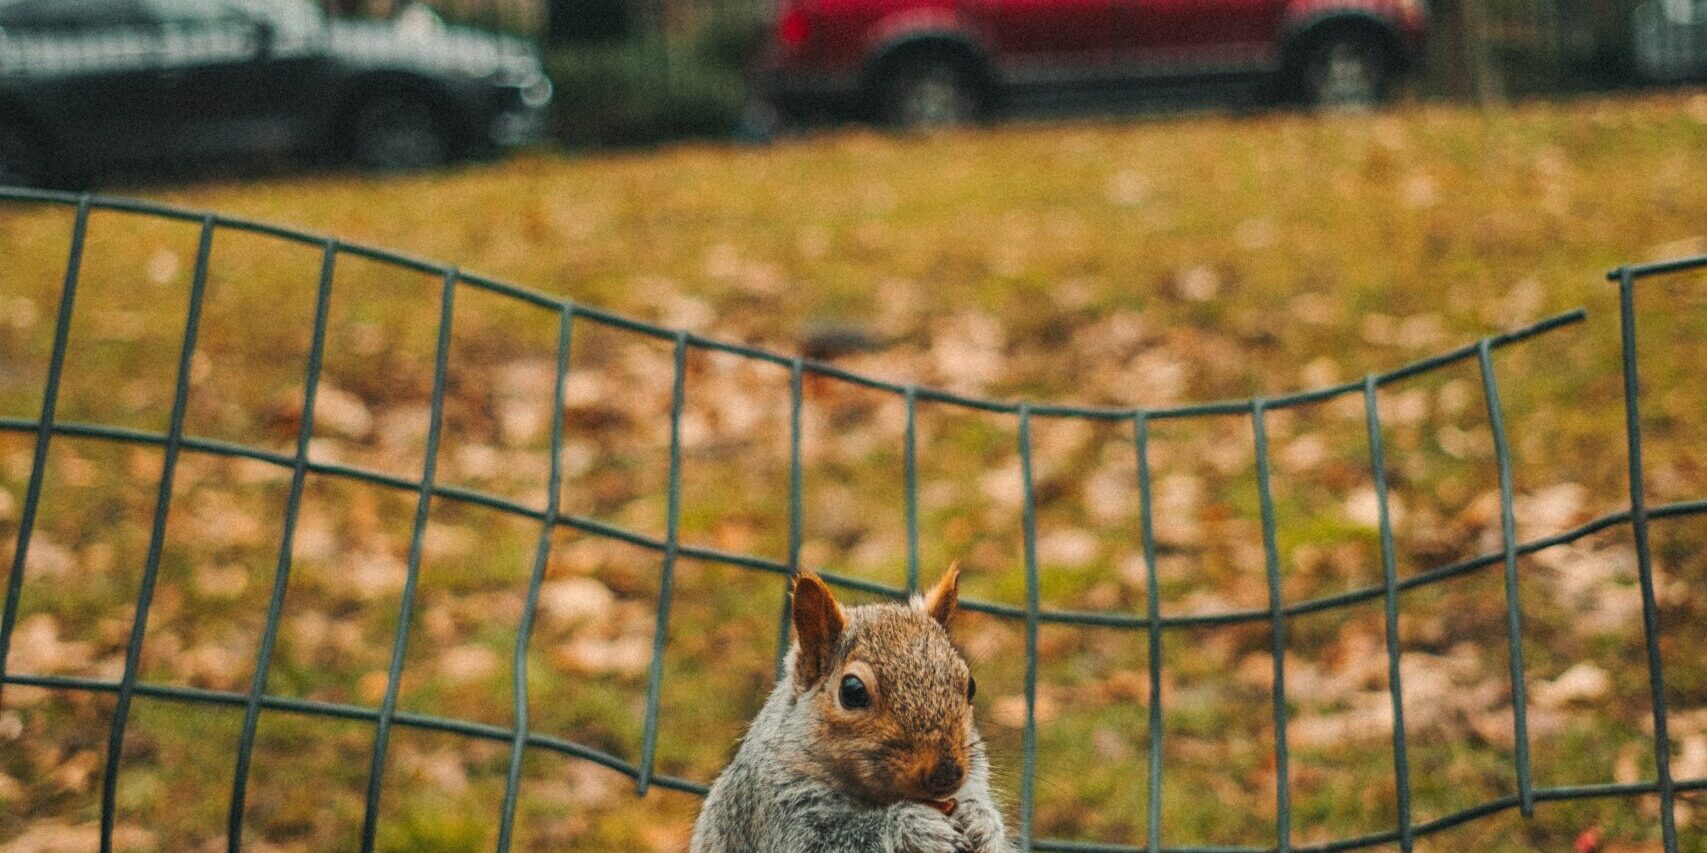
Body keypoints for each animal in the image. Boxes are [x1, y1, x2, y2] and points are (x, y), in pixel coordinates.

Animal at [690, 565, 1011, 853]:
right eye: (852, 691)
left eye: (970, 685)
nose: (947, 773)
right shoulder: (778, 811)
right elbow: (828, 843)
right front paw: (913, 826)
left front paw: (982, 821)